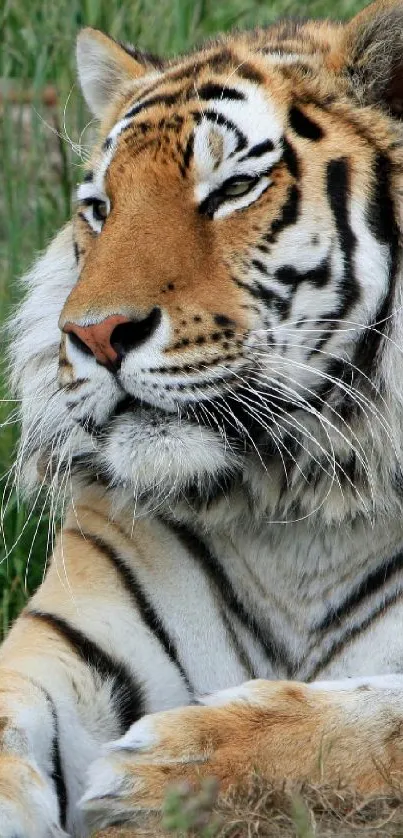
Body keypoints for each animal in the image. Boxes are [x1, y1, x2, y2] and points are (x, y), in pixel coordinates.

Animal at [5, 0, 403, 836]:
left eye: (233, 188)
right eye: (100, 209)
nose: (94, 334)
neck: (305, 511)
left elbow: (372, 719)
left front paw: (166, 767)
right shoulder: (72, 643)